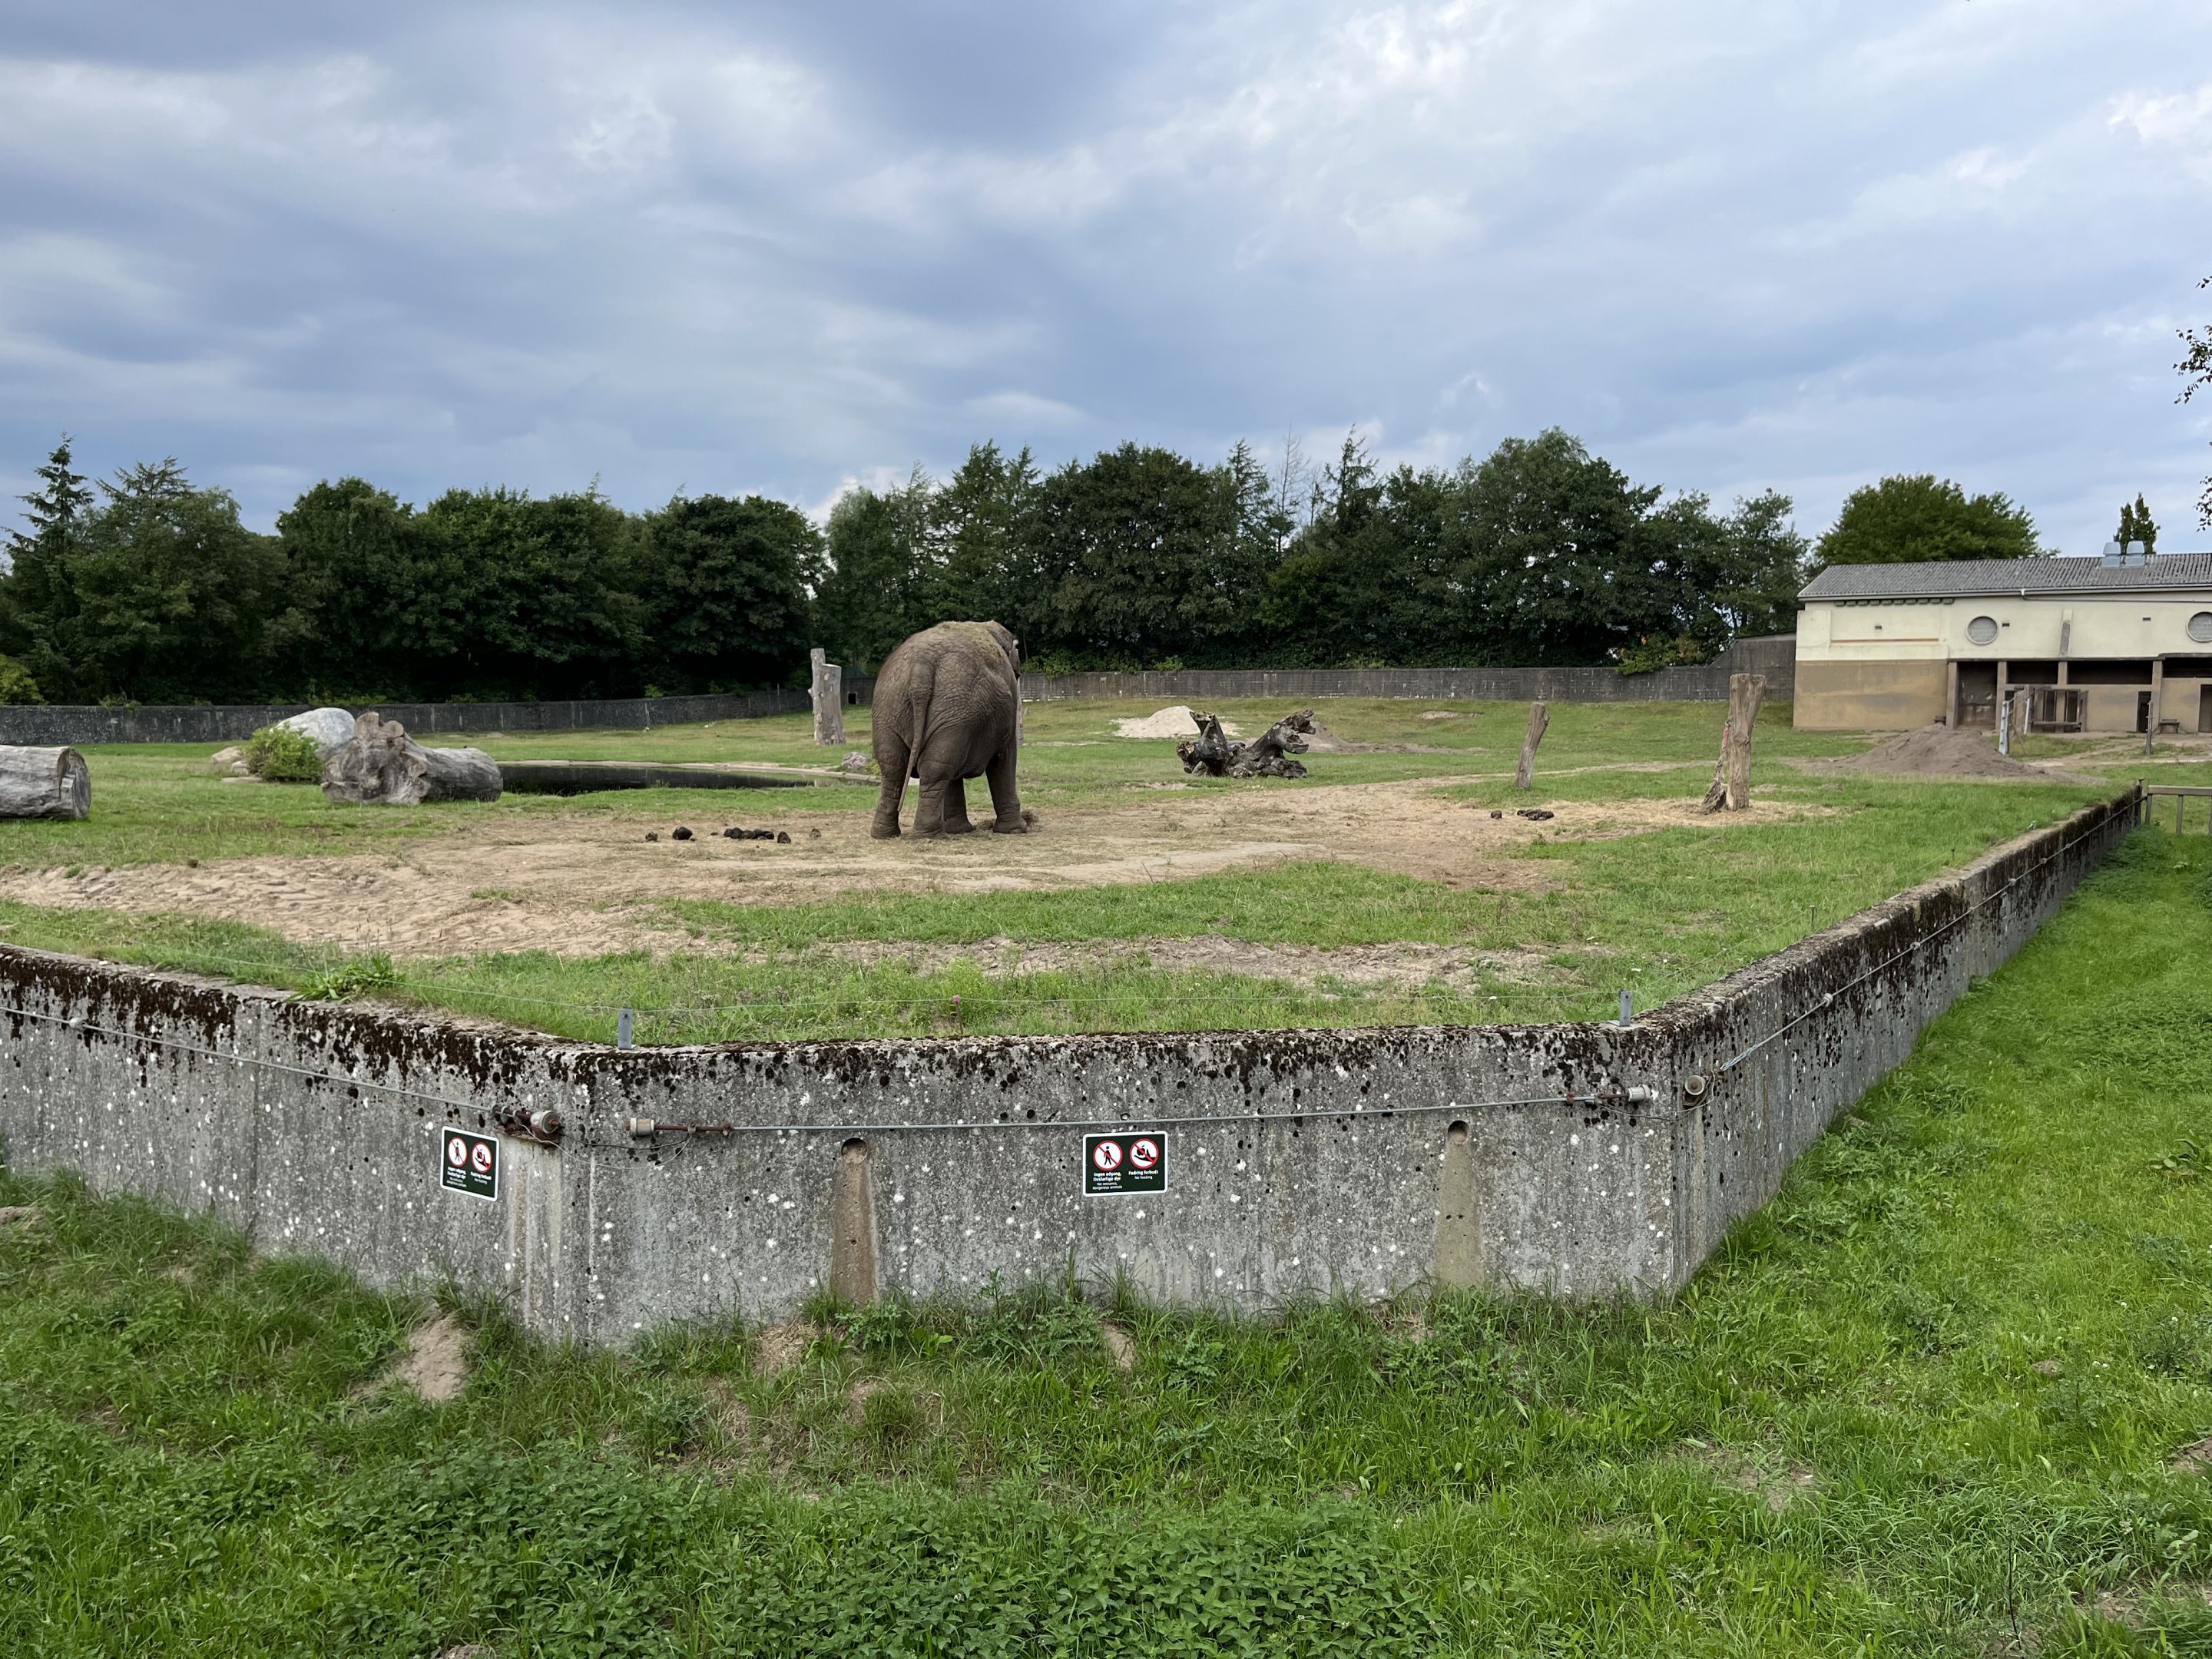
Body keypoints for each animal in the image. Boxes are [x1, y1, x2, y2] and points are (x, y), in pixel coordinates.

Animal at [869, 620, 1028, 839]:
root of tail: (921, 666)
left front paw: (959, 830)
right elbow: (1005, 756)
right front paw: (1016, 830)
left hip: (893, 710)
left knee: (896, 767)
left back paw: (885, 833)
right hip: (955, 711)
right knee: (935, 768)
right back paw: (929, 835)